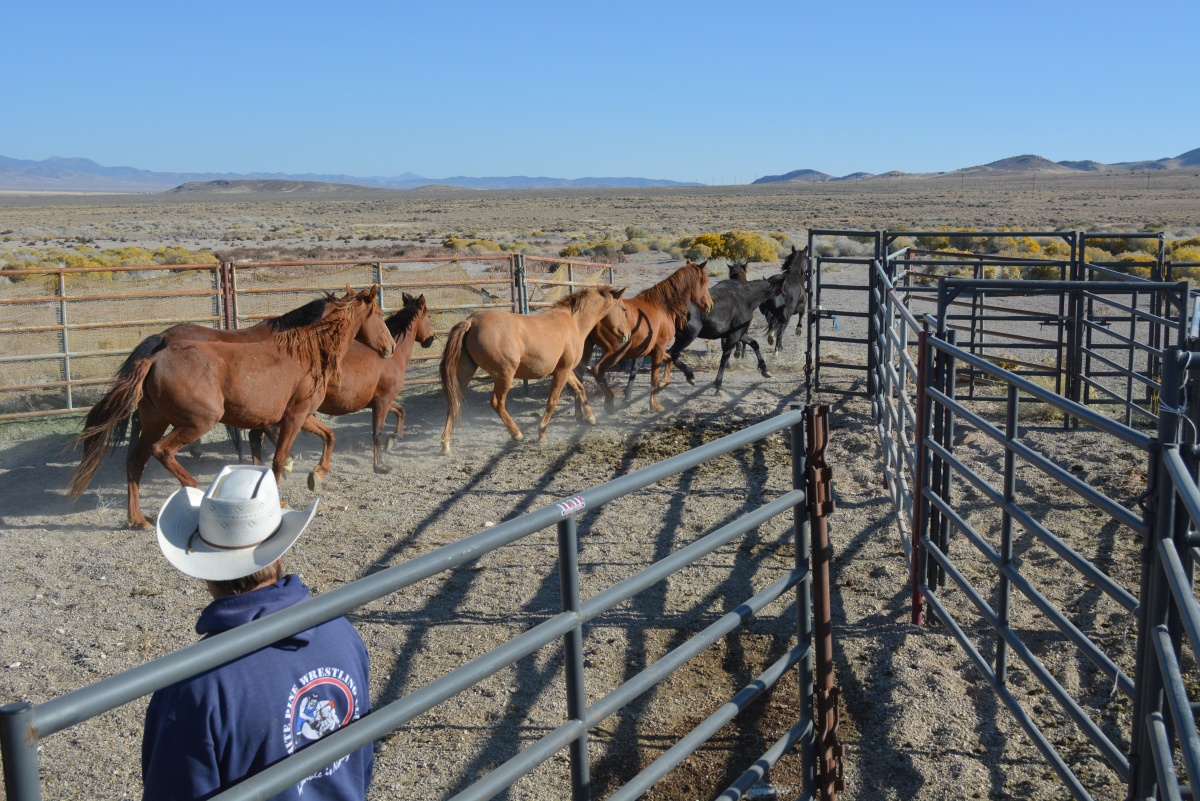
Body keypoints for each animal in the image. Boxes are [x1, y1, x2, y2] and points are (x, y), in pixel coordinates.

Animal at [69, 286, 393, 525]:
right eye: (379, 313)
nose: (389, 348)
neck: (308, 351)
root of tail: (154, 358)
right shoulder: (294, 416)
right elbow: (277, 458)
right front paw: (280, 495)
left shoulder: (301, 414)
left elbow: (329, 435)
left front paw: (317, 475)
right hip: (198, 422)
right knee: (162, 451)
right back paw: (195, 490)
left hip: (155, 422)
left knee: (135, 462)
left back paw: (137, 520)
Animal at [250, 291, 439, 472]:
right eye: (429, 316)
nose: (431, 338)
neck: (391, 356)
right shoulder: (382, 401)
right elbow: (377, 432)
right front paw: (379, 464)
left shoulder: (378, 401)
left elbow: (401, 411)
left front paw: (394, 438)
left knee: (256, 436)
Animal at [439, 284, 628, 453]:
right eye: (624, 309)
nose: (626, 336)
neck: (573, 322)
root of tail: (471, 321)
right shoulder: (562, 372)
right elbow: (552, 401)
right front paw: (541, 434)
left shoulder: (565, 371)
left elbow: (580, 389)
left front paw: (590, 418)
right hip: (504, 375)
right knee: (497, 403)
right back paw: (517, 434)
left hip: (465, 373)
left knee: (453, 402)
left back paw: (445, 444)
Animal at [580, 261, 710, 412]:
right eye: (704, 282)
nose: (710, 305)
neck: (662, 306)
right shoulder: (660, 347)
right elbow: (654, 376)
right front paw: (654, 404)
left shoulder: (652, 348)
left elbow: (669, 360)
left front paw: (665, 382)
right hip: (616, 351)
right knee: (596, 370)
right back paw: (609, 402)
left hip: (586, 350)